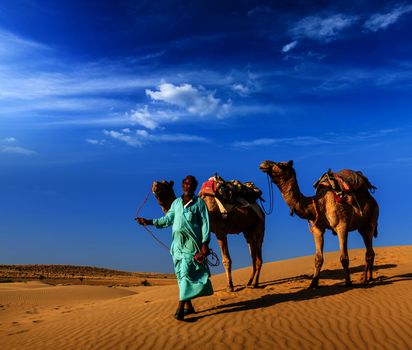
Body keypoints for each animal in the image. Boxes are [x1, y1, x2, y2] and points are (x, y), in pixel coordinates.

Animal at [260, 160, 378, 288]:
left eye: (281, 164)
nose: (264, 163)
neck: (319, 203)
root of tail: (373, 199)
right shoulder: (317, 229)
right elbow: (318, 259)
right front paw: (313, 284)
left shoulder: (342, 226)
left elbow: (344, 258)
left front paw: (348, 283)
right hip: (362, 228)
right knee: (370, 251)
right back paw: (369, 278)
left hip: (371, 221)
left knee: (369, 252)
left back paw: (365, 280)